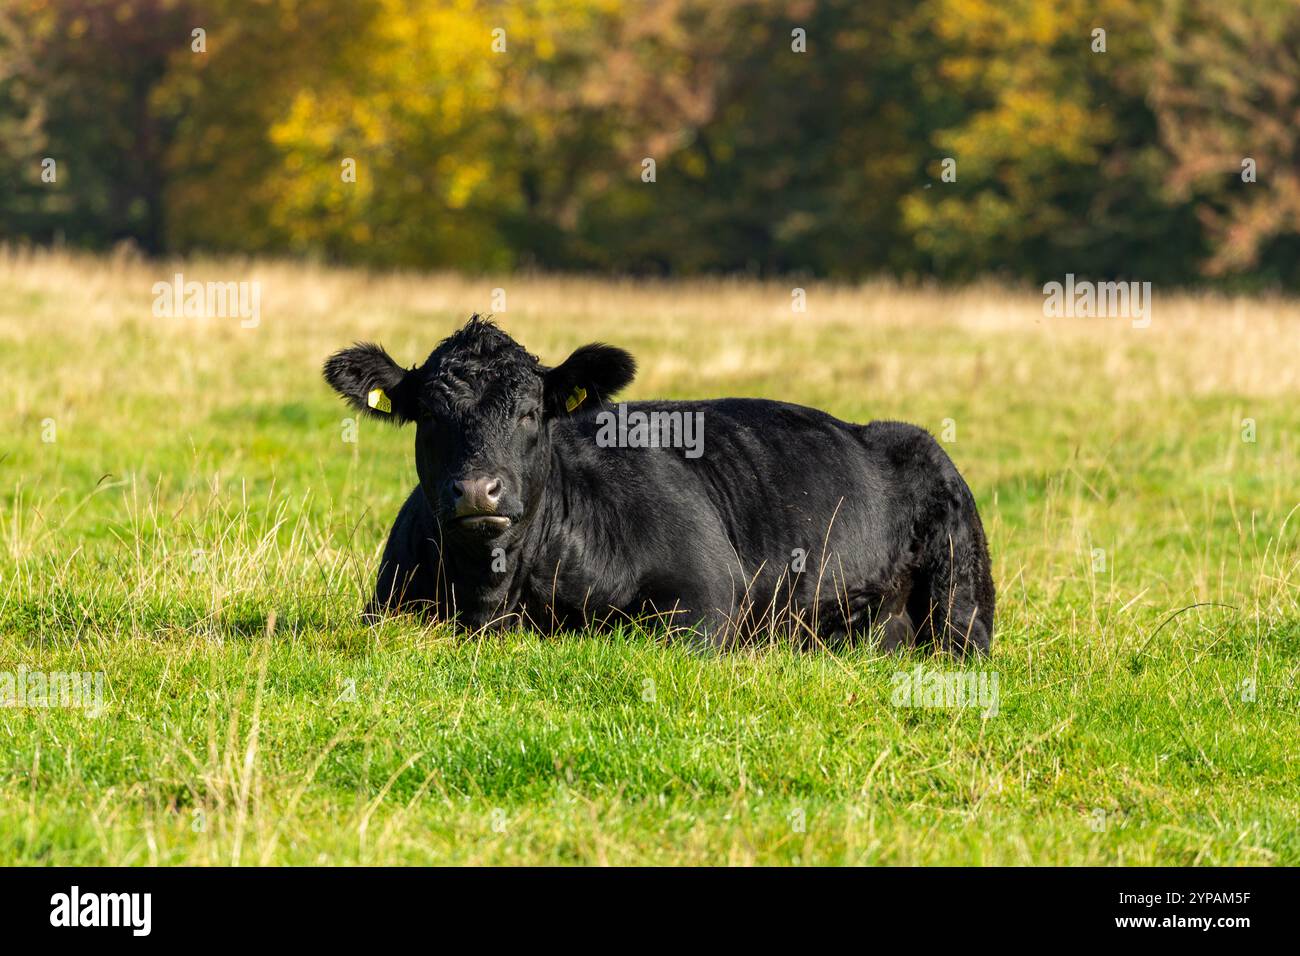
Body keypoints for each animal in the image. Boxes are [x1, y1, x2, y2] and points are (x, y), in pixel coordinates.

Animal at [324, 316, 994, 654]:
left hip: (961, 601)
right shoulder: (385, 606)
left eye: (531, 412)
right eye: (429, 415)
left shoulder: (705, 599)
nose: (477, 490)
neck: (493, 598)